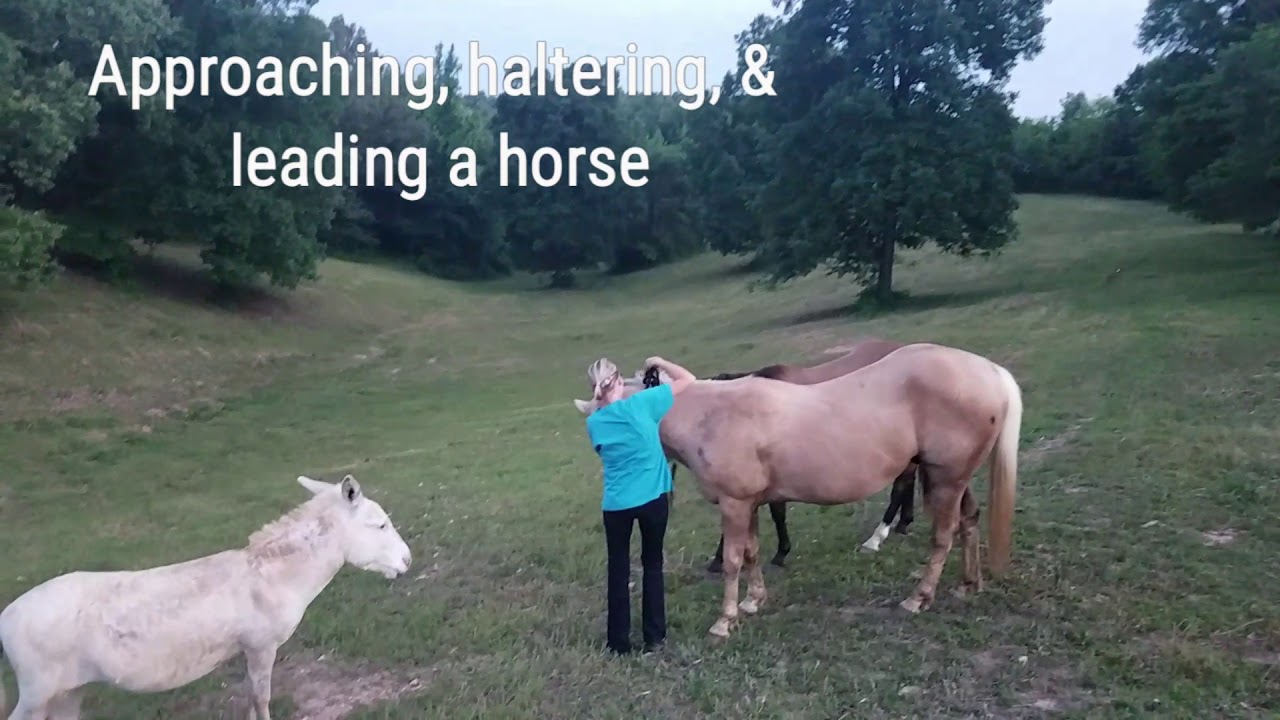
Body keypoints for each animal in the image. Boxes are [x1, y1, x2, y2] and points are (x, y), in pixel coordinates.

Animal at [0, 474, 412, 720]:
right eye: (380, 524)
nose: (407, 560)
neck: (279, 579)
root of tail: (5, 619)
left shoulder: (248, 647)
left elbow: (251, 696)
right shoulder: (261, 643)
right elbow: (260, 697)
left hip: (69, 689)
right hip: (36, 687)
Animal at [606, 343, 1023, 639]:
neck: (712, 413)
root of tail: (991, 372)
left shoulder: (734, 504)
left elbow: (733, 561)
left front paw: (725, 620)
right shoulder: (750, 503)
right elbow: (753, 553)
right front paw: (753, 601)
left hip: (945, 479)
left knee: (943, 535)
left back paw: (918, 596)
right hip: (951, 477)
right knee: (969, 521)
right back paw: (968, 585)